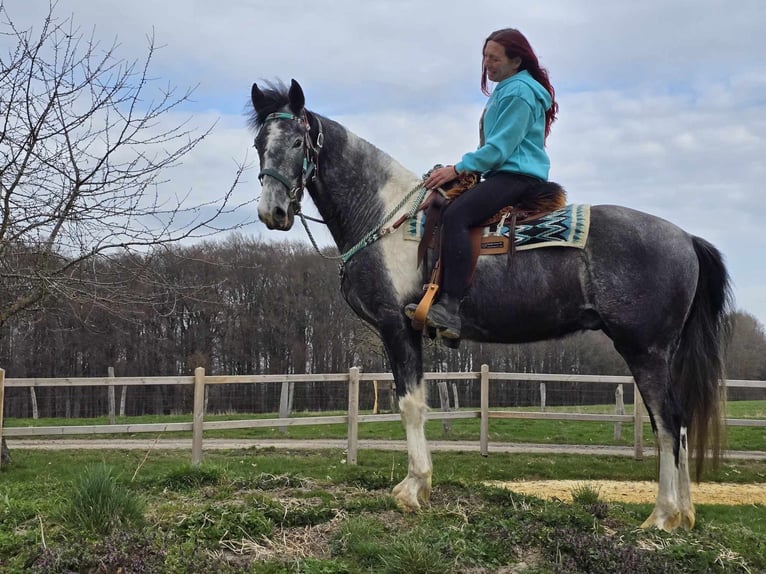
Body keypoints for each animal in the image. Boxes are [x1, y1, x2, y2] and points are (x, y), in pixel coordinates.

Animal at [247, 79, 732, 532]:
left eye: (297, 142)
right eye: (258, 145)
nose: (273, 212)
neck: (386, 218)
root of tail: (686, 238)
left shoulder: (396, 326)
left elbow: (410, 404)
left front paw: (413, 489)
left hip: (644, 349)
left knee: (667, 421)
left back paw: (663, 515)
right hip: (660, 352)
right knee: (679, 422)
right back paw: (684, 516)